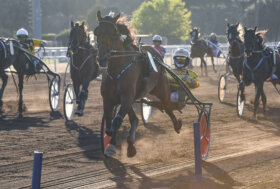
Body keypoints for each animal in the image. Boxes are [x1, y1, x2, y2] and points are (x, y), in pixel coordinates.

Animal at [94, 11, 182, 157]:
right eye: (97, 32)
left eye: (114, 33)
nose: (102, 58)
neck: (117, 69)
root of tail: (155, 53)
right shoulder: (108, 98)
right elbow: (109, 122)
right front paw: (113, 142)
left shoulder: (127, 96)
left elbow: (117, 120)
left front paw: (112, 145)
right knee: (134, 118)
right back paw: (130, 144)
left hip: (161, 88)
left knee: (167, 106)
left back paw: (177, 125)